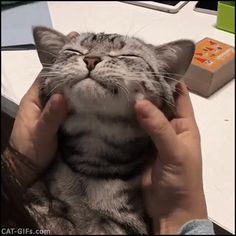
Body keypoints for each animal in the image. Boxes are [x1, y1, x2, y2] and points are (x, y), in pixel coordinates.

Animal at [24, 26, 195, 234]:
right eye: (74, 51)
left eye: (127, 55)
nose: (91, 59)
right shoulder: (36, 195)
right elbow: (50, 217)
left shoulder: (126, 224)